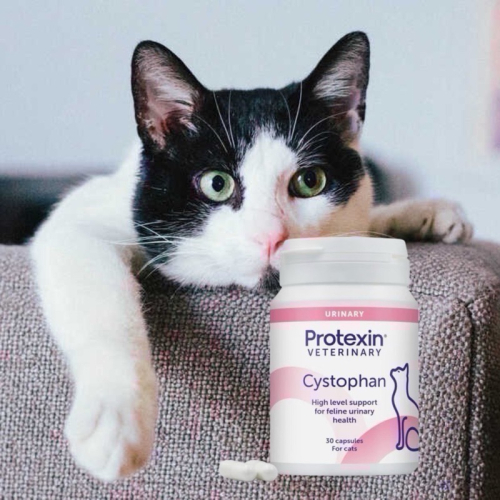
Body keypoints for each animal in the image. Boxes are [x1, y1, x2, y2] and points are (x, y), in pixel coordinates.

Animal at [30, 31, 472, 481]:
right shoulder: (81, 218)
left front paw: (425, 214)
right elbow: (99, 295)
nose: (273, 238)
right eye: (217, 184)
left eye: (310, 181)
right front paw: (116, 419)